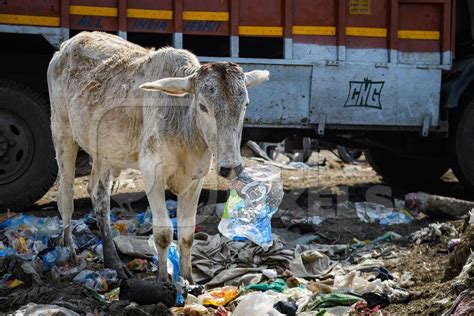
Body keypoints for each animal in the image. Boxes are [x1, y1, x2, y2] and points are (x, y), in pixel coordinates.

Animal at [49, 32, 270, 282]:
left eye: (245, 104)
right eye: (203, 106)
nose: (230, 167)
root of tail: (69, 44)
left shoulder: (195, 180)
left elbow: (186, 235)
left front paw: (189, 279)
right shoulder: (152, 174)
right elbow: (163, 233)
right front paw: (164, 280)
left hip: (103, 151)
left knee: (99, 195)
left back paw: (114, 262)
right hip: (62, 130)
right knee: (65, 192)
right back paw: (69, 250)